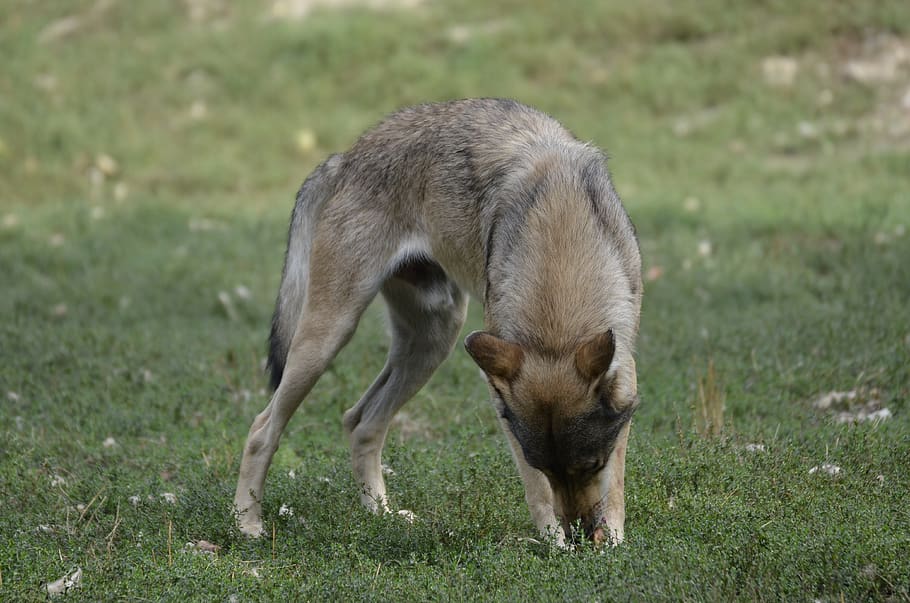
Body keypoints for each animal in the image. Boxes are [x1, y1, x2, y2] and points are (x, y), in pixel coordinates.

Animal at [233, 98, 642, 547]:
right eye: (548, 468)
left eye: (591, 465)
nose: (582, 535)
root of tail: (346, 158)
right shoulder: (503, 405)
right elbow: (537, 491)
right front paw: (556, 543)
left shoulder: (624, 383)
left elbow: (616, 486)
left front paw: (612, 541)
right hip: (329, 337)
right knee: (262, 428)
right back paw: (247, 524)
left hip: (434, 340)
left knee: (360, 422)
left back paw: (382, 514)